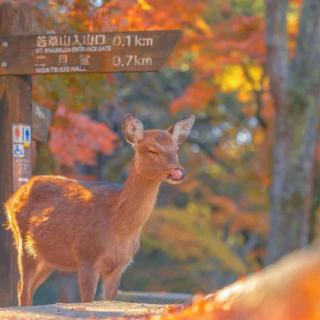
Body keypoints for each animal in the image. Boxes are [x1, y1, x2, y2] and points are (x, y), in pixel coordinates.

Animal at [4, 114, 195, 306]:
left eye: (176, 149)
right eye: (153, 151)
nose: (178, 172)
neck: (118, 225)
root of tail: (11, 199)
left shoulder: (119, 265)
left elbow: (109, 299)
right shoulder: (86, 255)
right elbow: (87, 300)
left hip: (47, 259)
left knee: (27, 288)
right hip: (23, 244)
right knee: (23, 288)